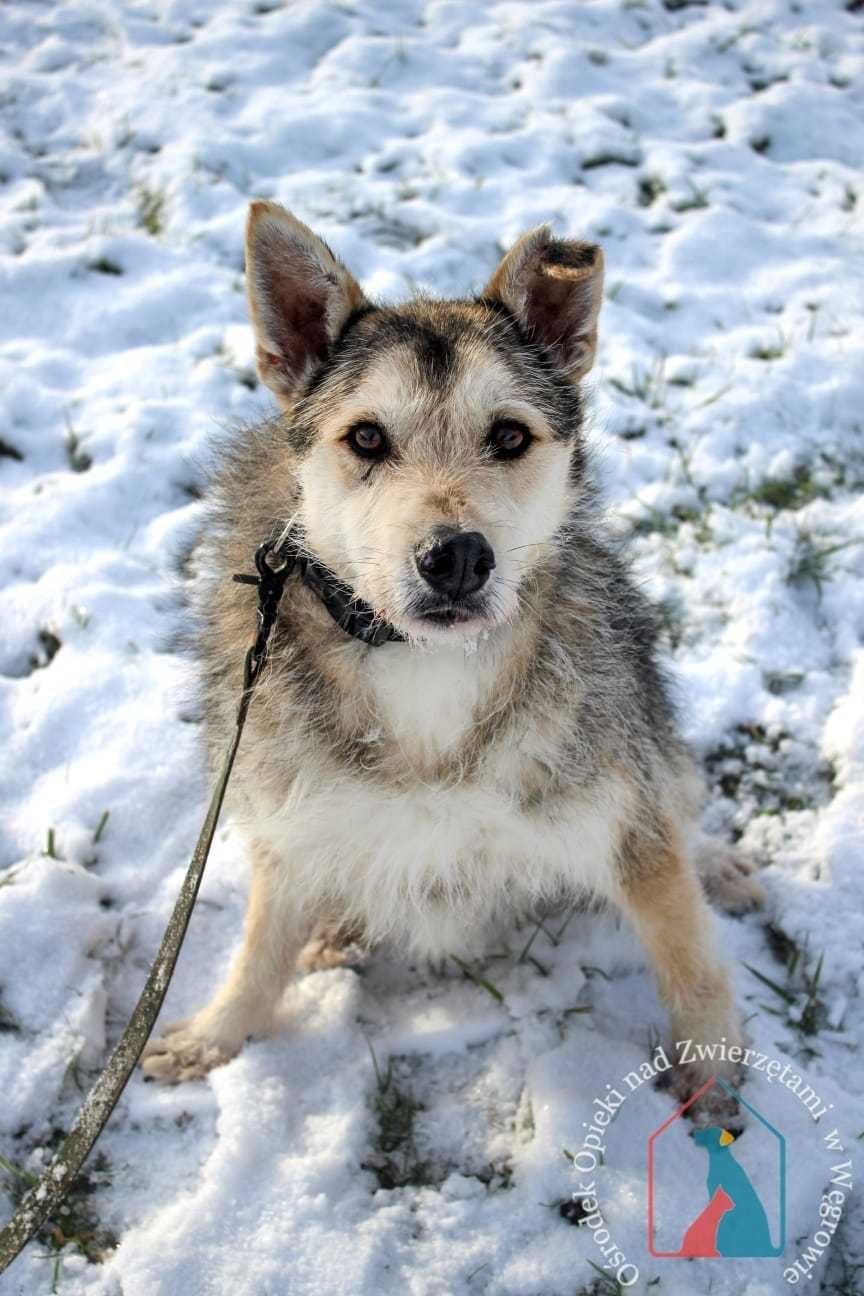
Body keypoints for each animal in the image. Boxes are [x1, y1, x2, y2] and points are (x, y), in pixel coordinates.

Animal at [141, 202, 761, 1093]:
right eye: (366, 439)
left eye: (508, 436)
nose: (457, 557)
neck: (422, 666)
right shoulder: (288, 804)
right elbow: (262, 941)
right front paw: (218, 1032)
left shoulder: (625, 814)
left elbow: (688, 950)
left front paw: (712, 1079)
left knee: (680, 800)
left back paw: (719, 864)